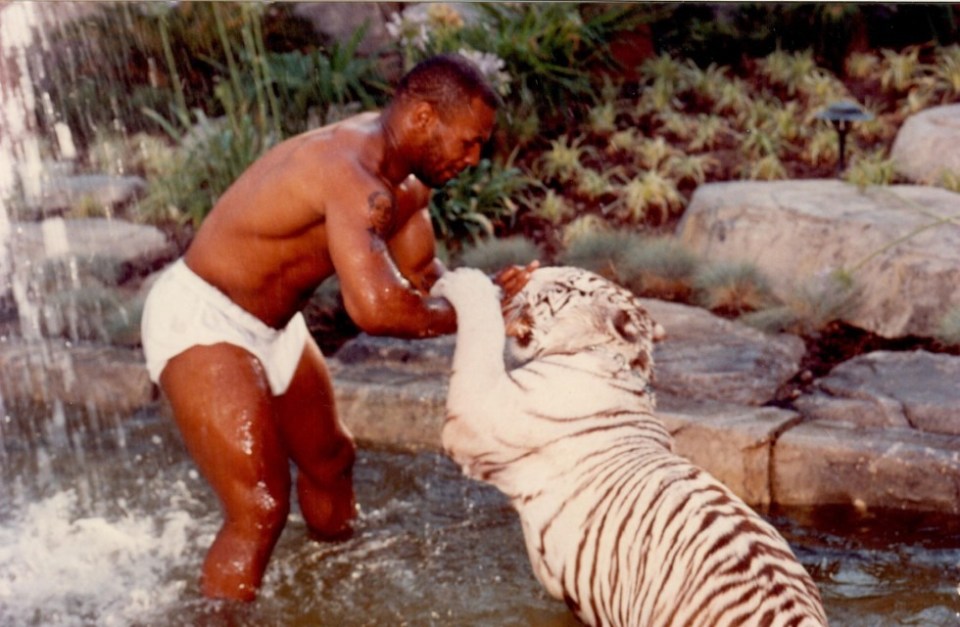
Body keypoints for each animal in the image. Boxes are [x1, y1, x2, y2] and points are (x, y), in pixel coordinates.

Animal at [432, 268, 828, 627]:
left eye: (560, 286)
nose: (520, 283)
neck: (615, 358)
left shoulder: (482, 413)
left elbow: (480, 326)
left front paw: (459, 279)